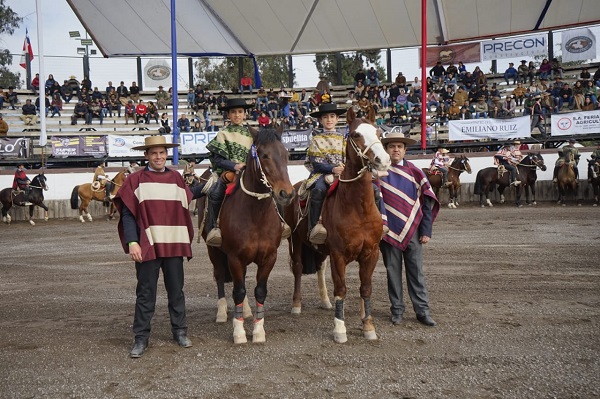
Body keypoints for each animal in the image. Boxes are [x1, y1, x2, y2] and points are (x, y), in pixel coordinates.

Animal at [198, 127, 294, 344]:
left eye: (286, 154)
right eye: (264, 155)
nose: (286, 193)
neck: (255, 214)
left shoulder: (269, 257)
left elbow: (259, 290)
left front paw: (258, 330)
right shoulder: (234, 257)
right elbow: (238, 290)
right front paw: (239, 332)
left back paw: (247, 310)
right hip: (213, 250)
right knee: (220, 276)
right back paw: (222, 312)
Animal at [284, 107, 392, 344]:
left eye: (379, 132)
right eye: (356, 135)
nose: (383, 160)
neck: (358, 209)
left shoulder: (371, 253)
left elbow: (365, 288)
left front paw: (368, 326)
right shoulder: (338, 255)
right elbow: (341, 288)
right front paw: (340, 329)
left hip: (319, 249)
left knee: (319, 267)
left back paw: (325, 301)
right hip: (295, 240)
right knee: (298, 268)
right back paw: (296, 305)